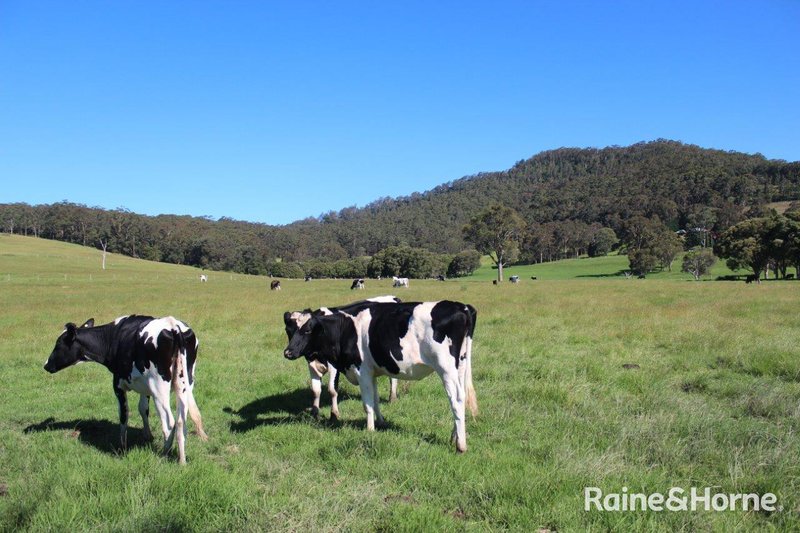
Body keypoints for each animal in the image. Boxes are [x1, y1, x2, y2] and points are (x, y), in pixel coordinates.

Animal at [43, 316, 208, 462]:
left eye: (58, 344)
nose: (46, 365)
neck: (113, 337)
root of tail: (173, 325)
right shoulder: (144, 386)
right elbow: (143, 408)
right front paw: (147, 436)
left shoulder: (118, 384)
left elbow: (124, 414)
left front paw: (122, 447)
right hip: (185, 383)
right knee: (181, 421)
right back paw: (182, 460)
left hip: (159, 389)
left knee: (169, 424)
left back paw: (164, 455)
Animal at [284, 302, 478, 450]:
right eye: (289, 330)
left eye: (308, 330)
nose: (288, 352)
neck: (345, 328)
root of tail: (462, 307)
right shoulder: (372, 372)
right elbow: (376, 400)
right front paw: (381, 422)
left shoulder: (362, 371)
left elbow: (367, 404)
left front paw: (370, 430)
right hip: (460, 366)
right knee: (461, 398)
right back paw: (454, 437)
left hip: (446, 368)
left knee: (456, 400)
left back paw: (461, 445)